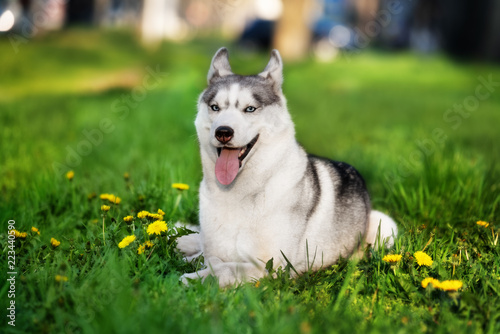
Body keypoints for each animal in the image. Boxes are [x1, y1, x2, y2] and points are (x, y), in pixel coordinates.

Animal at [178, 47, 396, 288]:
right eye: (215, 107)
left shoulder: (270, 265)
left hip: (385, 225)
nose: (223, 132)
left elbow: (225, 268)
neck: (237, 192)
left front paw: (195, 278)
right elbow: (210, 255)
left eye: (250, 109)